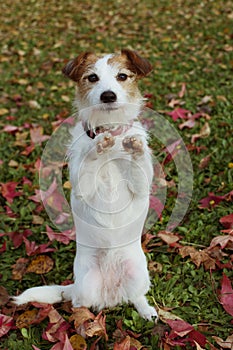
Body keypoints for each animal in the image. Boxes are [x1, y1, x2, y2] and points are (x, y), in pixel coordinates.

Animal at [13, 48, 158, 320]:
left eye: (122, 76)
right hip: (87, 284)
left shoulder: (141, 187)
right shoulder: (83, 188)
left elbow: (138, 164)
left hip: (139, 274)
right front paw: (97, 147)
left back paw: (148, 312)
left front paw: (134, 147)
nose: (108, 95)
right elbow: (90, 161)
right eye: (92, 78)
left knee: (136, 296)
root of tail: (111, 293)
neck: (111, 131)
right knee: (79, 303)